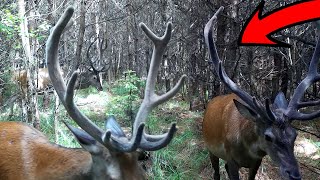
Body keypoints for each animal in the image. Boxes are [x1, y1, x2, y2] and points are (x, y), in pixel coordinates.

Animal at [202, 7, 320, 180]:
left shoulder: (256, 161)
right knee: (216, 171)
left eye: (295, 135)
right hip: (211, 148)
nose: (294, 175)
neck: (246, 148)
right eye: (268, 136)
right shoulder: (230, 158)